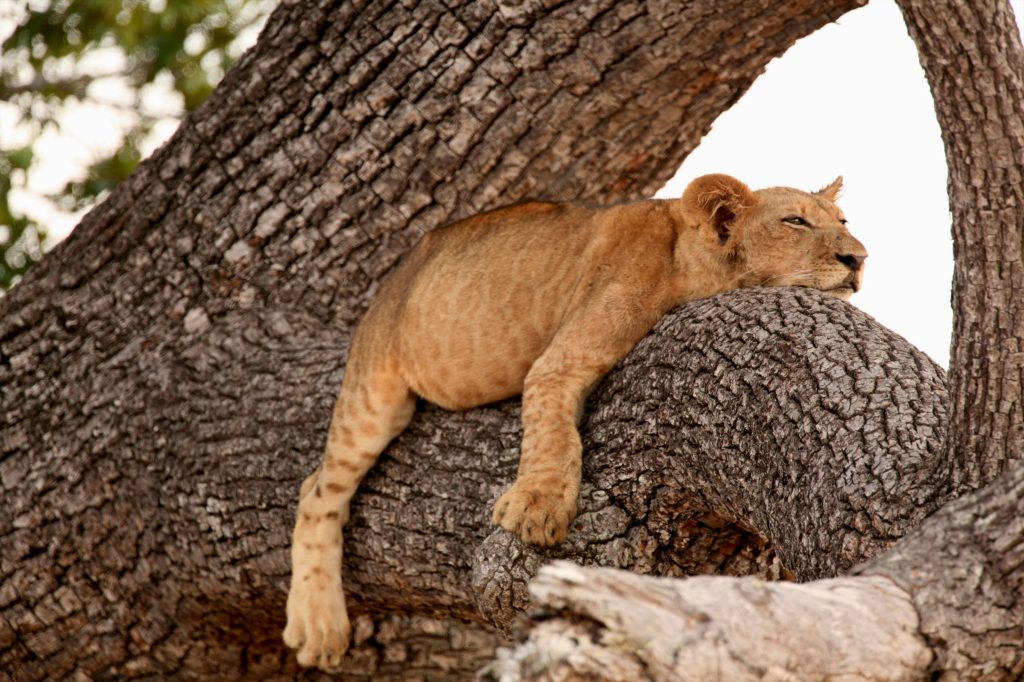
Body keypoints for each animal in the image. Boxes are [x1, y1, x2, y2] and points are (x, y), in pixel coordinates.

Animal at [283, 173, 867, 670]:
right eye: (795, 221)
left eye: (843, 220)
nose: (859, 257)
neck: (688, 260)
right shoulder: (560, 359)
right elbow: (553, 431)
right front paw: (537, 507)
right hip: (374, 390)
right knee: (318, 489)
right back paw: (318, 625)